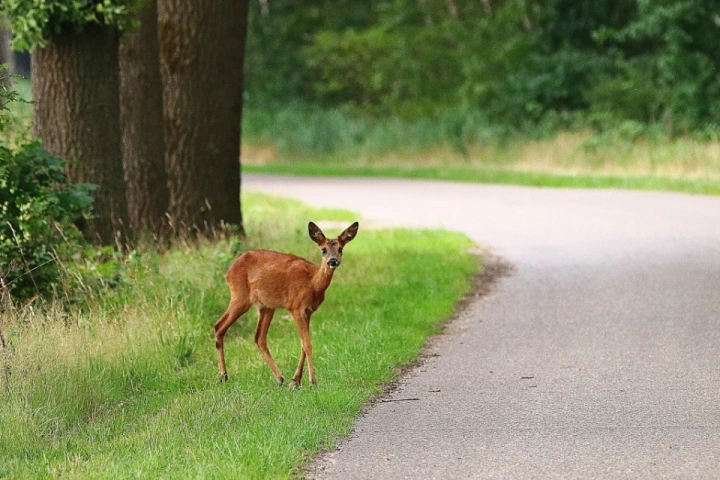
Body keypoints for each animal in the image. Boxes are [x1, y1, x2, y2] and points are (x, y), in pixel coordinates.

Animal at [214, 221, 360, 386]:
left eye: (340, 249)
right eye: (323, 250)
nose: (333, 261)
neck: (312, 282)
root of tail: (229, 271)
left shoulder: (308, 312)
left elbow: (303, 344)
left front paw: (296, 381)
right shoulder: (296, 308)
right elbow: (307, 344)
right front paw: (313, 381)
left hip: (266, 306)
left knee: (259, 338)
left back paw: (280, 378)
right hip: (240, 296)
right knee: (219, 326)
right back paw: (223, 376)